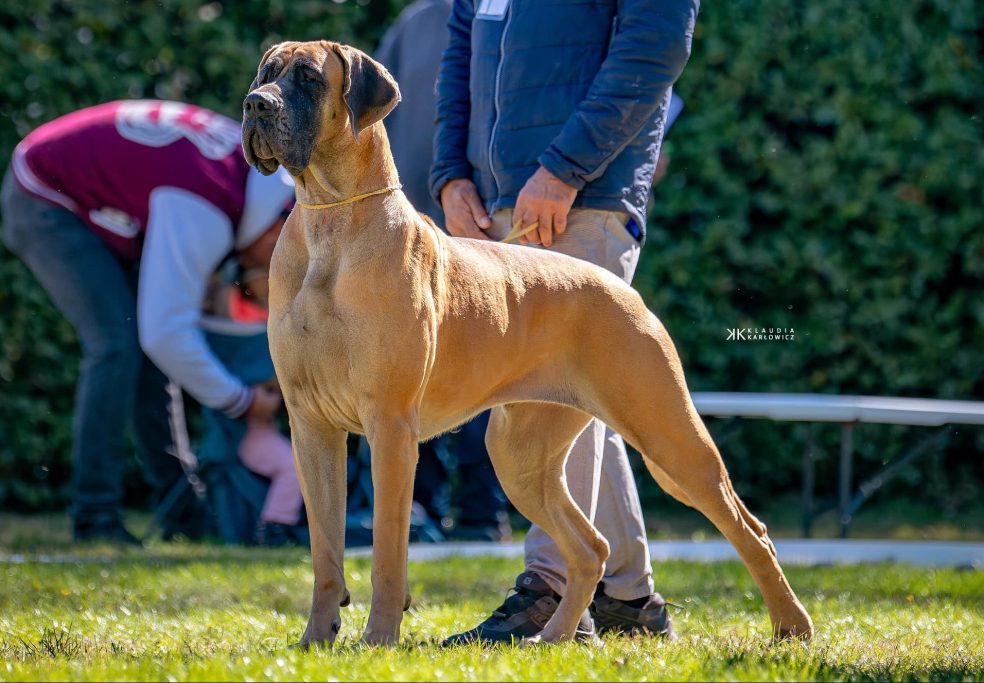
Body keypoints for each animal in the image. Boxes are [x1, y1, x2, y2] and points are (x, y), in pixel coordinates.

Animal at [242, 40, 812, 648]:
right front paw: (316, 640)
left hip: (671, 438)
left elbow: (387, 553)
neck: (331, 222)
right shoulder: (312, 427)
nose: (255, 105)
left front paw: (378, 641)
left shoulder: (390, 427)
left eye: (307, 78)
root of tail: (624, 289)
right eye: (265, 73)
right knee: (591, 547)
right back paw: (553, 637)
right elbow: (325, 550)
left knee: (748, 528)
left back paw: (792, 625)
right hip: (521, 455)